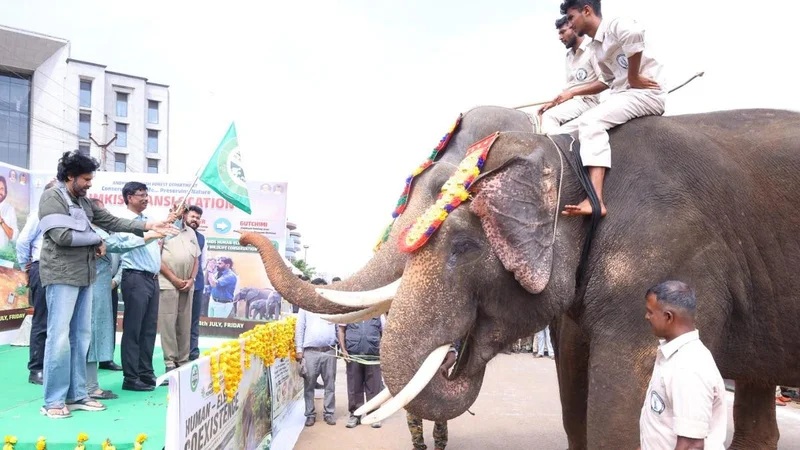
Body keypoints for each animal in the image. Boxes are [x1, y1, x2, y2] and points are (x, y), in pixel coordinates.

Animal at [240, 106, 800, 449]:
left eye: (463, 247)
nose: (246, 236)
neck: (566, 151)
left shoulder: (666, 251)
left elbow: (618, 417)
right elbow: (574, 393)